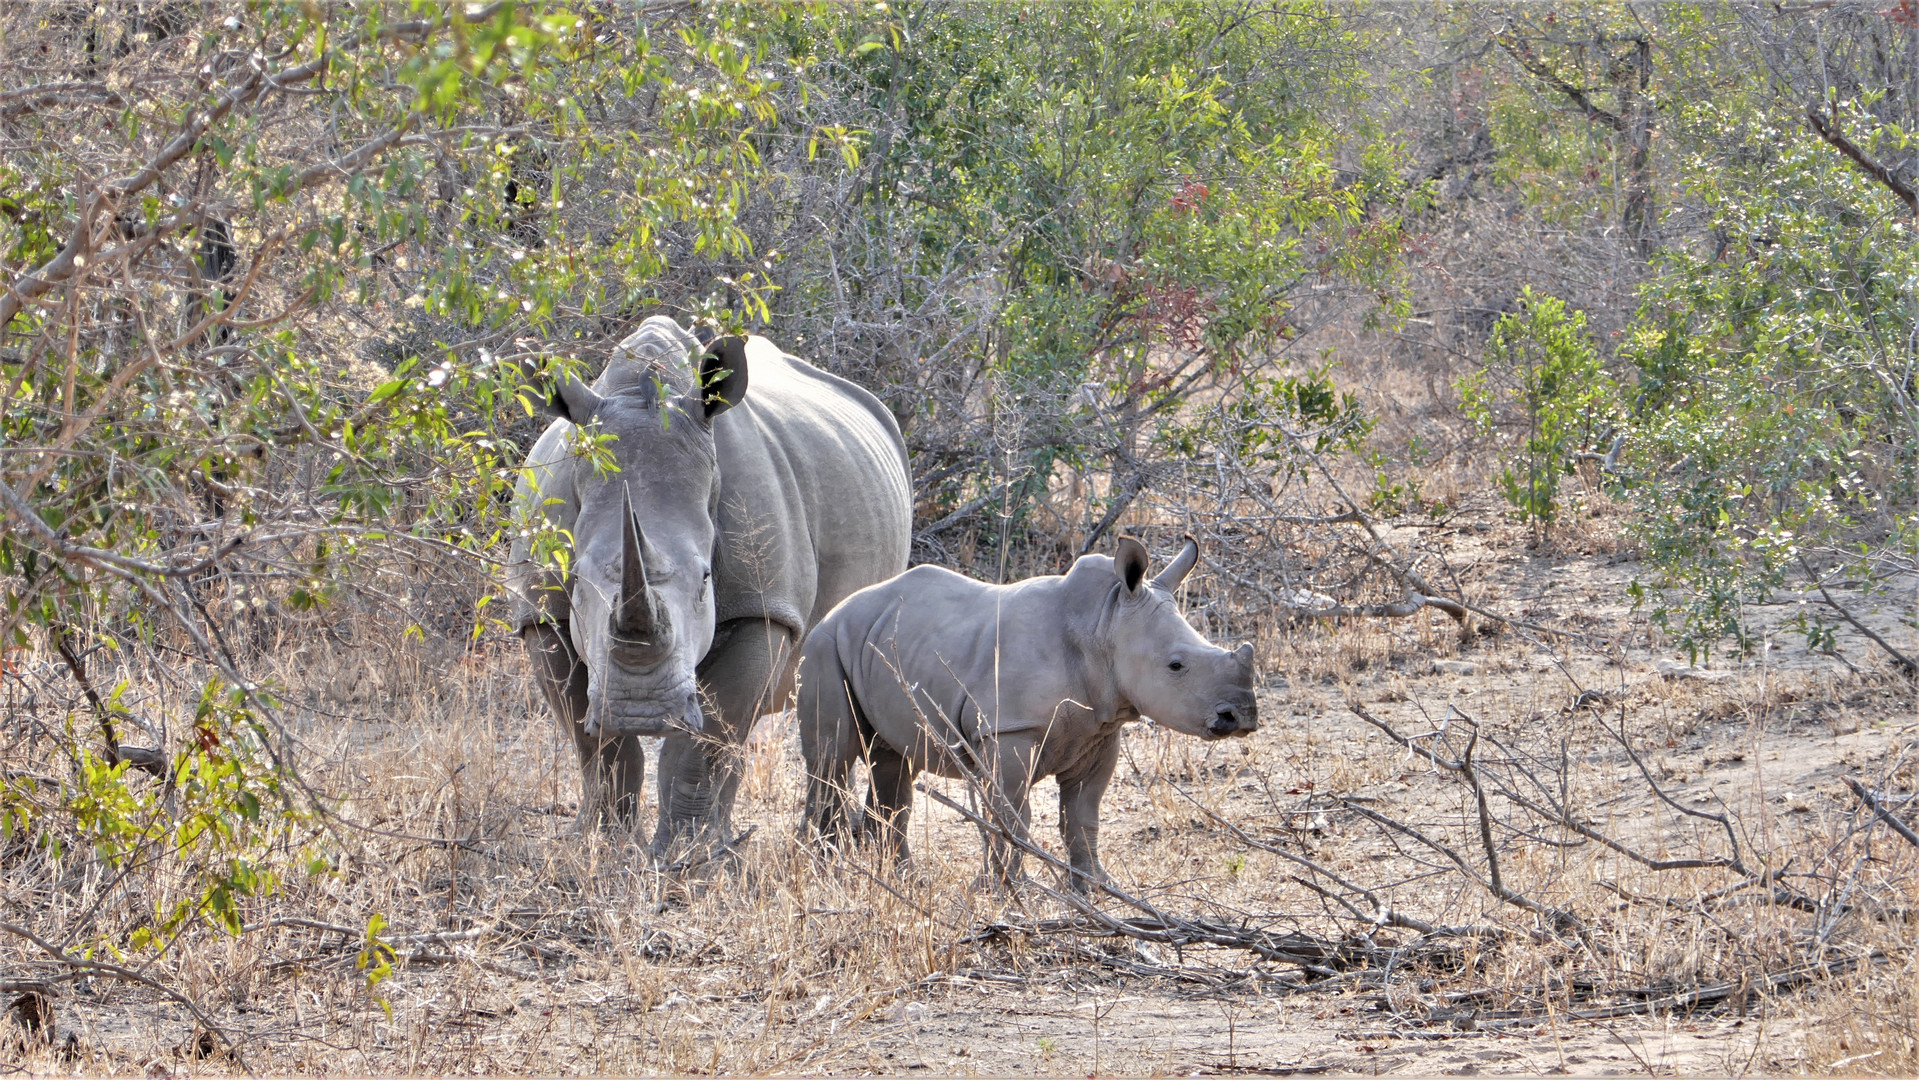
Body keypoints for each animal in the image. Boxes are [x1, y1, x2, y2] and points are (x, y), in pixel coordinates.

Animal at [798, 537, 1258, 890]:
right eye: (1176, 666)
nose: (1241, 717)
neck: (1103, 624)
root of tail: (837, 609)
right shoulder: (1009, 730)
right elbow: (1012, 814)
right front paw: (1009, 890)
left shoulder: (1100, 730)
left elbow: (1083, 815)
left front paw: (1096, 886)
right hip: (824, 646)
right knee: (831, 761)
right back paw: (824, 876)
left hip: (876, 644)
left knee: (893, 761)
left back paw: (904, 881)